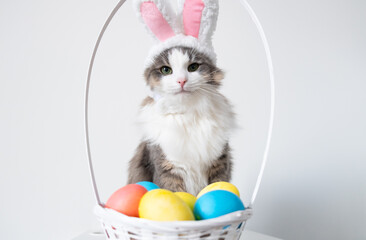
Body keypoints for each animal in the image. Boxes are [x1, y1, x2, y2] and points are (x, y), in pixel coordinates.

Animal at [127, 46, 236, 196]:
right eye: (166, 70)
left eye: (193, 67)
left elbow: (218, 187)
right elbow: (177, 194)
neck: (188, 116)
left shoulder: (220, 164)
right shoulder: (168, 169)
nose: (181, 81)